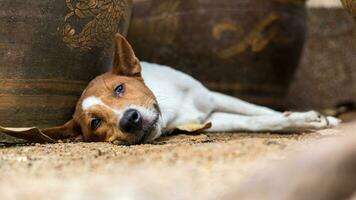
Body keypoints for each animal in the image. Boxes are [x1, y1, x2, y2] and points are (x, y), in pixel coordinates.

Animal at [36, 33, 340, 145]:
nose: (130, 119)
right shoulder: (209, 120)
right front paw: (301, 120)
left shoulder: (213, 97)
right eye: (96, 122)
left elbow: (260, 110)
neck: (174, 109)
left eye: (120, 88)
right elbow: (257, 122)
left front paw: (316, 117)